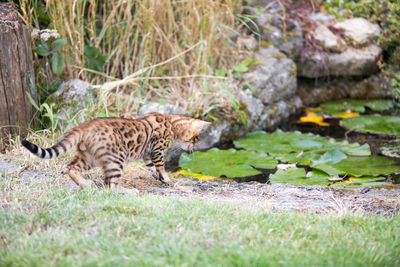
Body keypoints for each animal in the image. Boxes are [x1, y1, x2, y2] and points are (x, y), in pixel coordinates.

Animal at [21, 113, 211, 195]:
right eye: (196, 138)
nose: (194, 148)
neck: (172, 122)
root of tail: (85, 126)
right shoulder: (156, 150)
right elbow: (160, 166)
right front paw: (165, 177)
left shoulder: (147, 155)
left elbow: (152, 168)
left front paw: (160, 178)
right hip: (116, 159)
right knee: (111, 186)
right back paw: (129, 191)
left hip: (88, 157)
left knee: (71, 168)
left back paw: (85, 184)